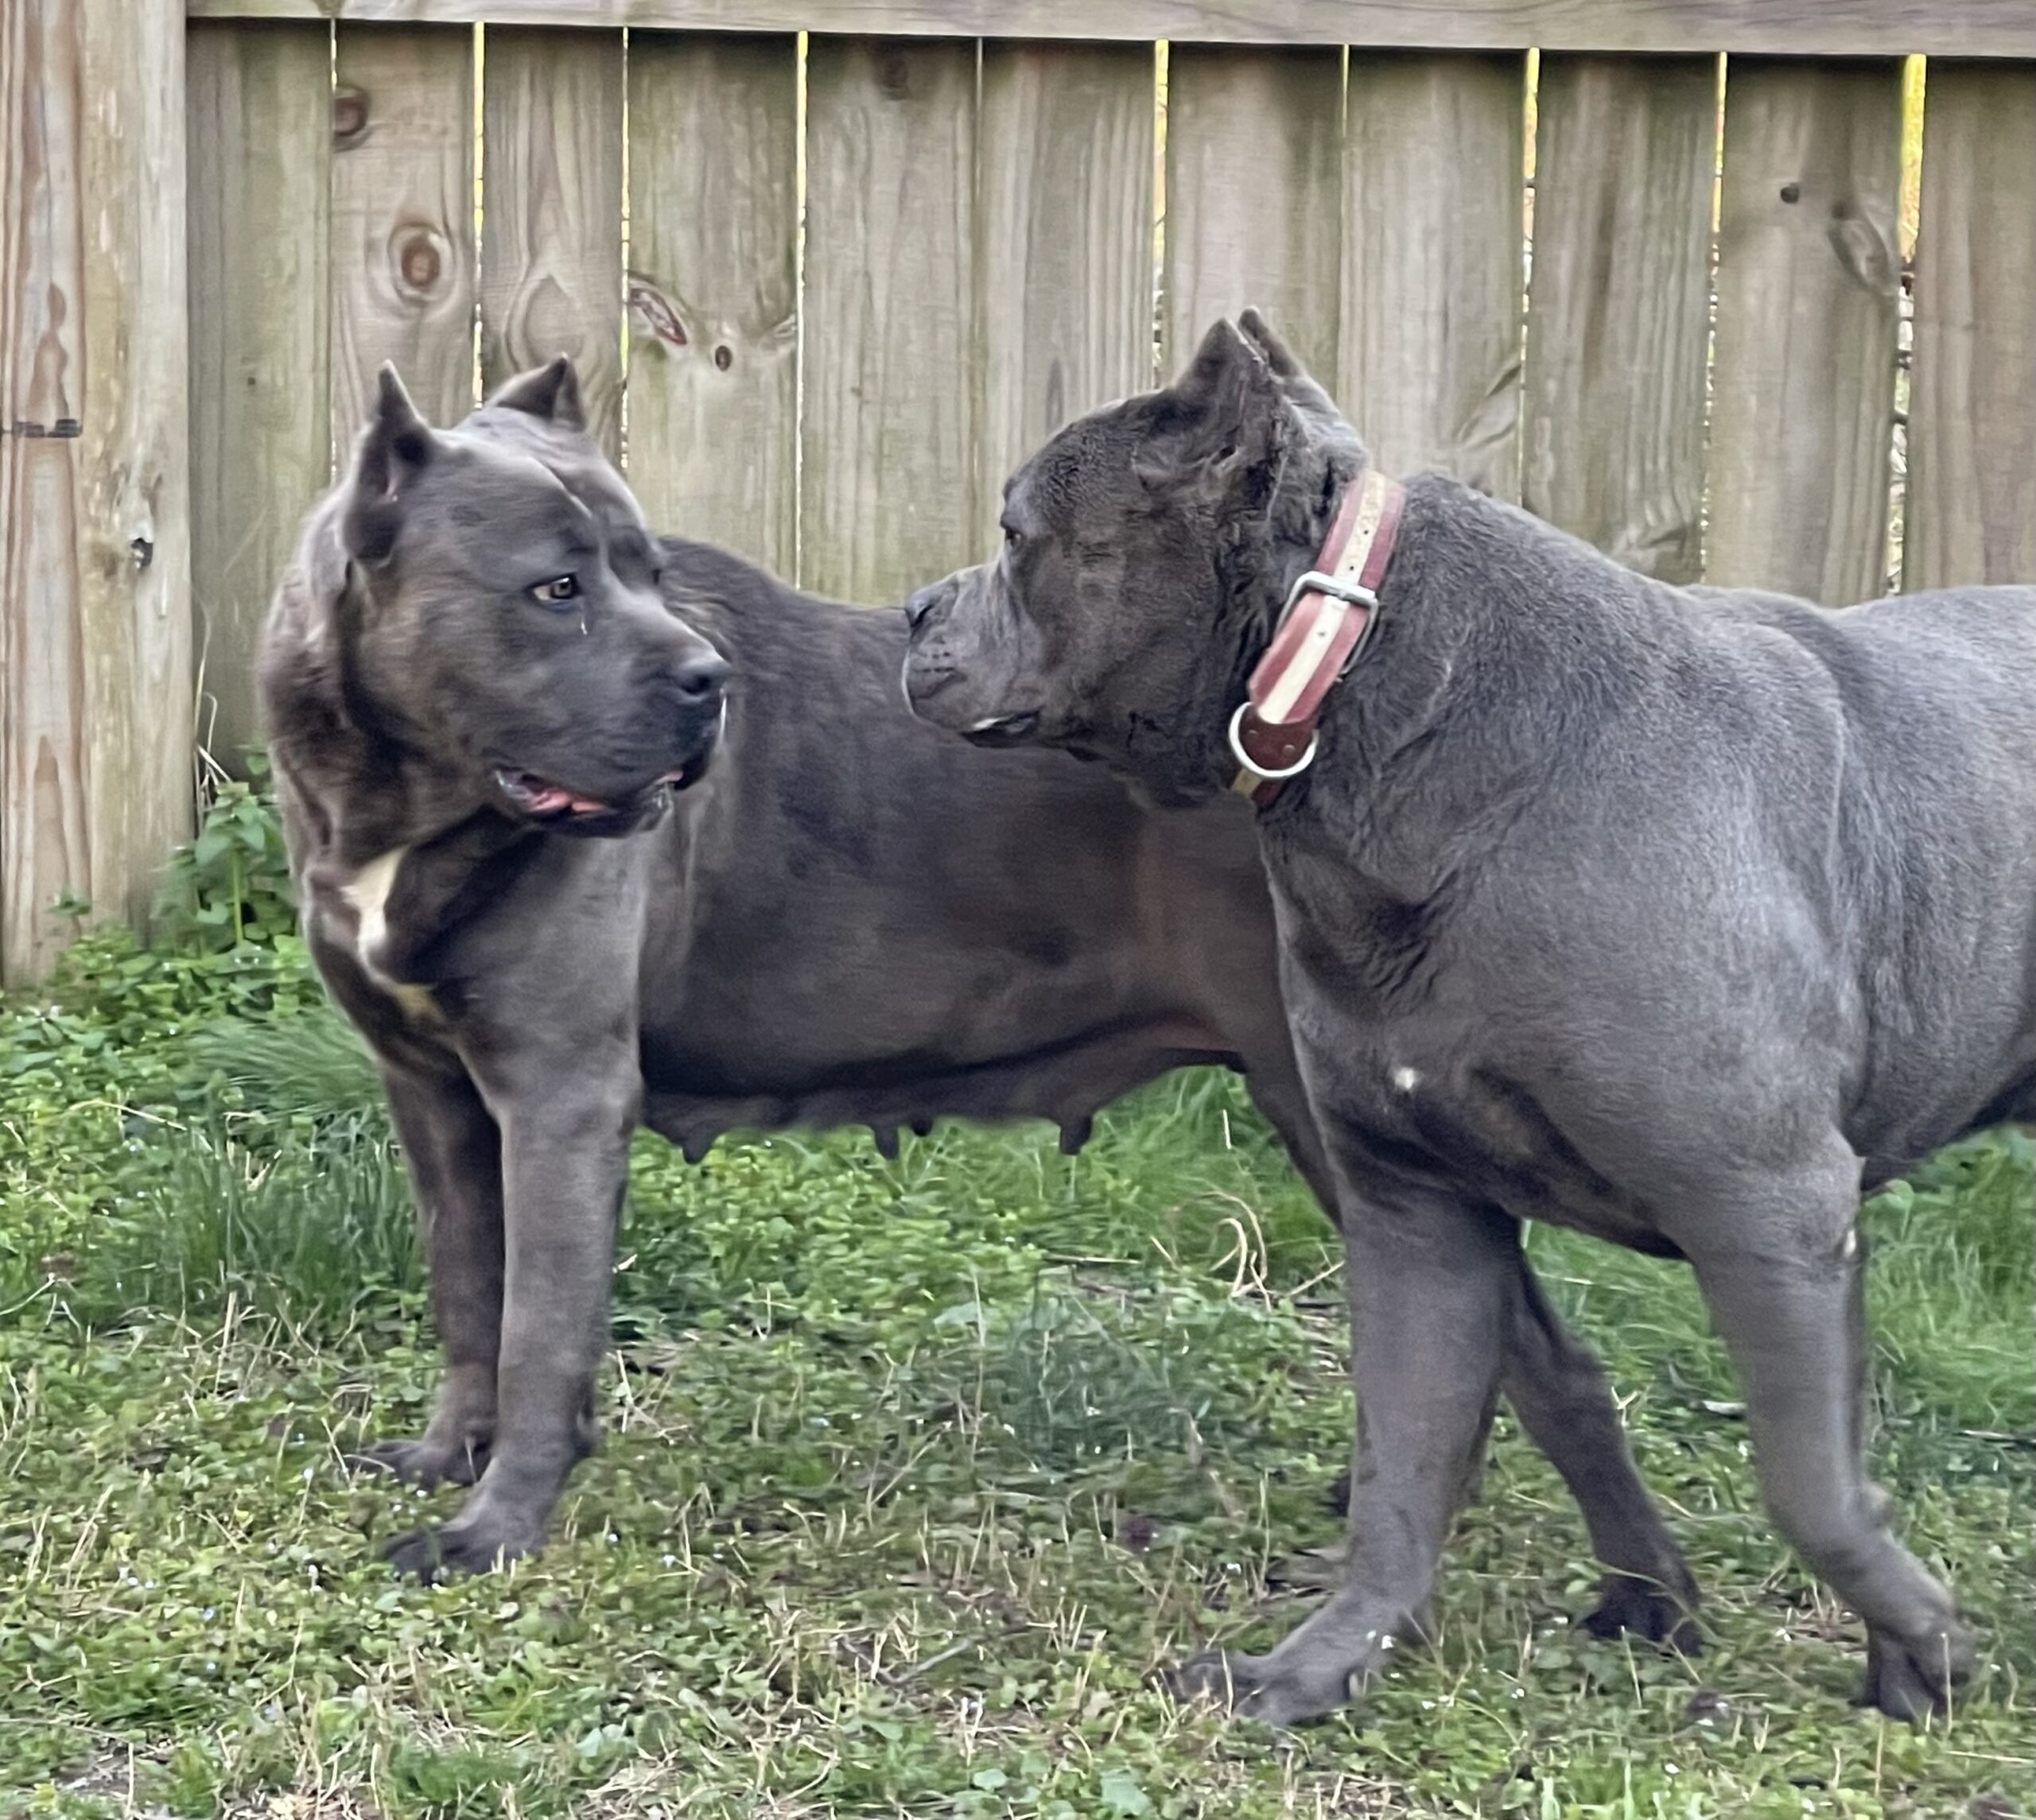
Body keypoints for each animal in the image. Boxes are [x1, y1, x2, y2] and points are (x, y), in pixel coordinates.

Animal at [262, 360, 1343, 1579]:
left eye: (648, 572)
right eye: (556, 588)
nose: (709, 679)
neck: (407, 807)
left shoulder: (560, 1098)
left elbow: (538, 1328)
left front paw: (494, 1528)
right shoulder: (432, 1091)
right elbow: (465, 1287)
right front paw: (450, 1454)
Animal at [907, 313, 2036, 1726]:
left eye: (1017, 534)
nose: (915, 608)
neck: (1372, 689)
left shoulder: (1770, 1210)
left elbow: (1810, 1485)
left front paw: (1921, 1649)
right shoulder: (1417, 1211)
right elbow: (1404, 1471)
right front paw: (1317, 1667)